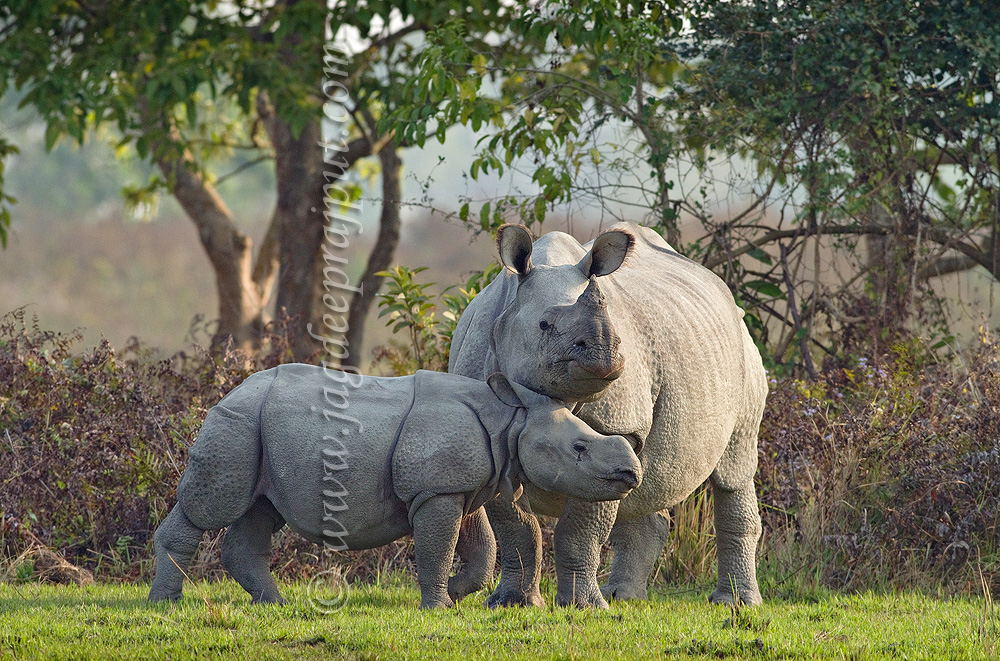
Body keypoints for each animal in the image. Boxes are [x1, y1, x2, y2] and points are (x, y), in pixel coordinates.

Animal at [148, 364, 642, 609]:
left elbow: (480, 549)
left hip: (264, 429)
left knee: (260, 510)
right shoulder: (438, 490)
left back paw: (274, 605)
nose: (631, 473)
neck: (511, 420)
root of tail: (231, 390)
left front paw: (457, 592)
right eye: (579, 447)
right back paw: (165, 606)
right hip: (237, 423)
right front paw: (439, 607)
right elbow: (438, 547)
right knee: (209, 508)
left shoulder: (456, 485)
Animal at [449, 222, 768, 608]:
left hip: (743, 352)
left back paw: (735, 603)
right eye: (543, 325)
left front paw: (582, 606)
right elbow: (517, 528)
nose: (606, 354)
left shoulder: (620, 424)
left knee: (734, 467)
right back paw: (624, 596)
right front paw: (514, 602)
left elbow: (580, 527)